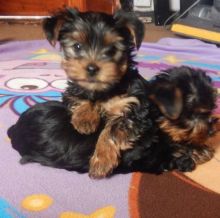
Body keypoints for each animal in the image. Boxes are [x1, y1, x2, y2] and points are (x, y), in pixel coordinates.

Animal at [6, 8, 218, 179]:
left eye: (111, 49)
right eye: (77, 47)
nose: (211, 129)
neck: (104, 91)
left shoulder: (133, 108)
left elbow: (113, 129)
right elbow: (81, 100)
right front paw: (86, 122)